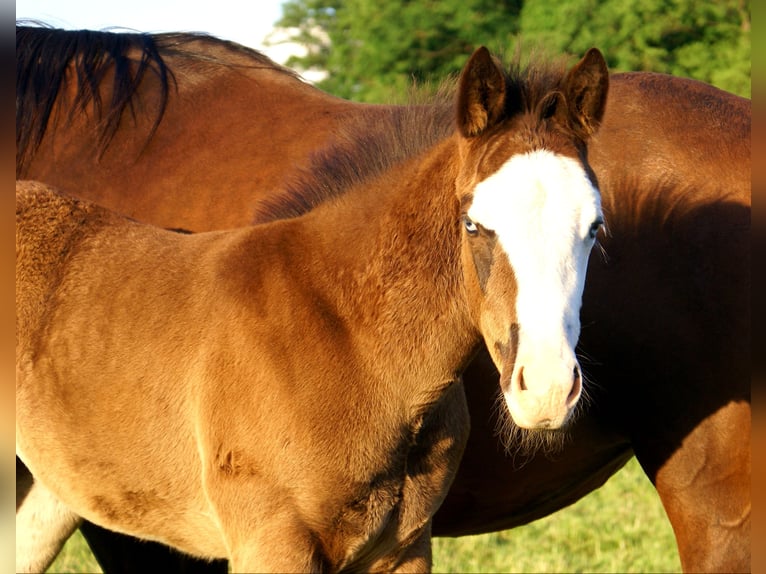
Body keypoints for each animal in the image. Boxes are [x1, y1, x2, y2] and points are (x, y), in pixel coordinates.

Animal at [16, 25, 751, 573]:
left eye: (595, 228)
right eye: (474, 225)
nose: (543, 389)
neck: (344, 334)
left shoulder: (400, 545)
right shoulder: (263, 542)